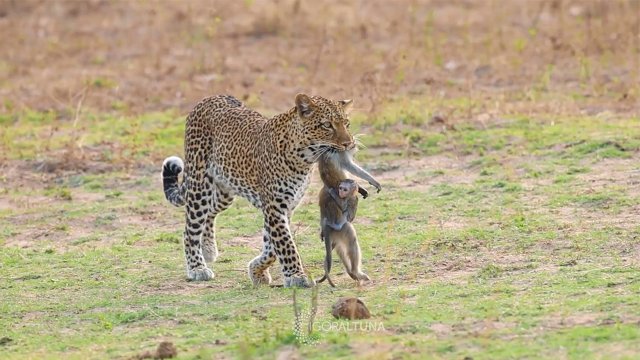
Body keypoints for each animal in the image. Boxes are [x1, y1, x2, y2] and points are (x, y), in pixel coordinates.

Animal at [161, 94, 356, 288]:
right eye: (327, 125)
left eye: (347, 124)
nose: (349, 144)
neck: (305, 158)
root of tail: (210, 98)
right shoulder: (274, 206)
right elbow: (285, 243)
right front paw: (296, 276)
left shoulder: (286, 207)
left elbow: (272, 247)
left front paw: (257, 271)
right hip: (199, 184)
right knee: (190, 229)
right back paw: (197, 268)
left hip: (225, 192)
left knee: (209, 213)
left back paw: (208, 250)